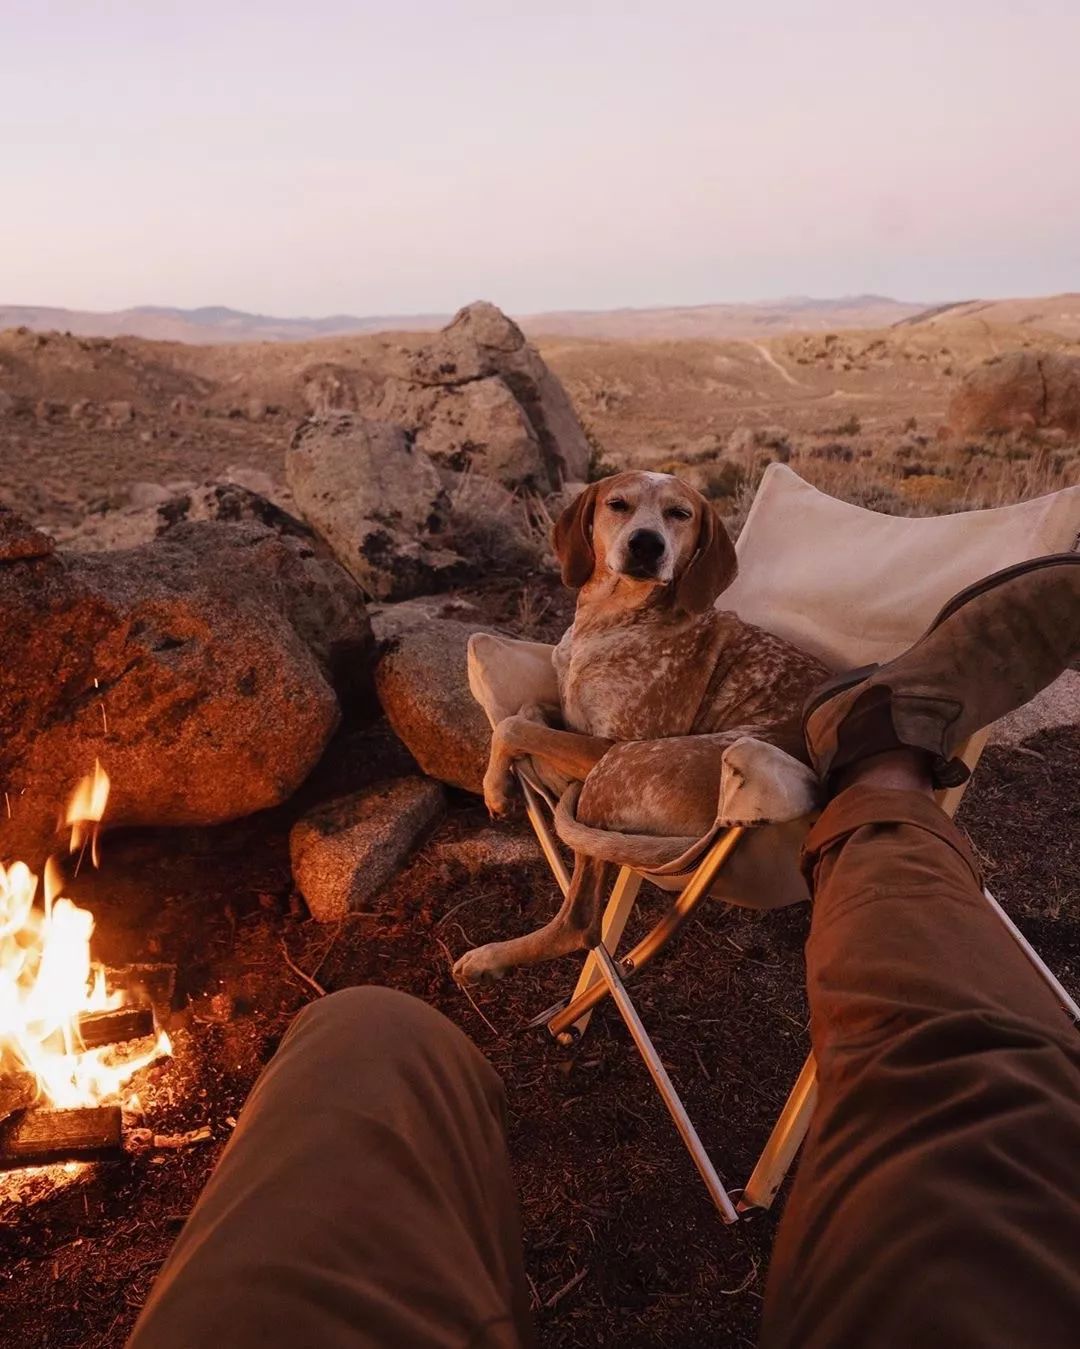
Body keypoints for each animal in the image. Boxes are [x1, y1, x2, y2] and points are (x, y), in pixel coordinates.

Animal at [450, 469, 830, 987]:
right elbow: (528, 710)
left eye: (680, 513)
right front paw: (506, 768)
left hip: (612, 772)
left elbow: (512, 725)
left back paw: (492, 956)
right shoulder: (570, 711)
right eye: (618, 504)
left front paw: (494, 788)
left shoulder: (605, 744)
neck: (610, 619)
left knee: (581, 922)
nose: (647, 544)